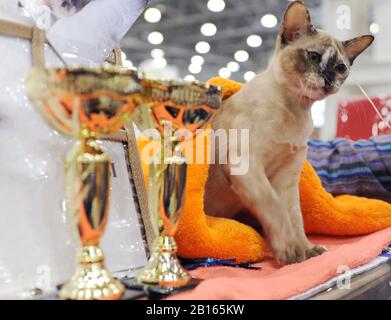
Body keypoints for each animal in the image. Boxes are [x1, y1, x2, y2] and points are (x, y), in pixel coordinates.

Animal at [204, 0, 376, 264]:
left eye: (340, 68)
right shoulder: (247, 166)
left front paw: (306, 251)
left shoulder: (286, 179)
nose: (328, 79)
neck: (296, 108)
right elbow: (275, 209)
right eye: (313, 56)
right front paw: (291, 251)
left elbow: (295, 219)